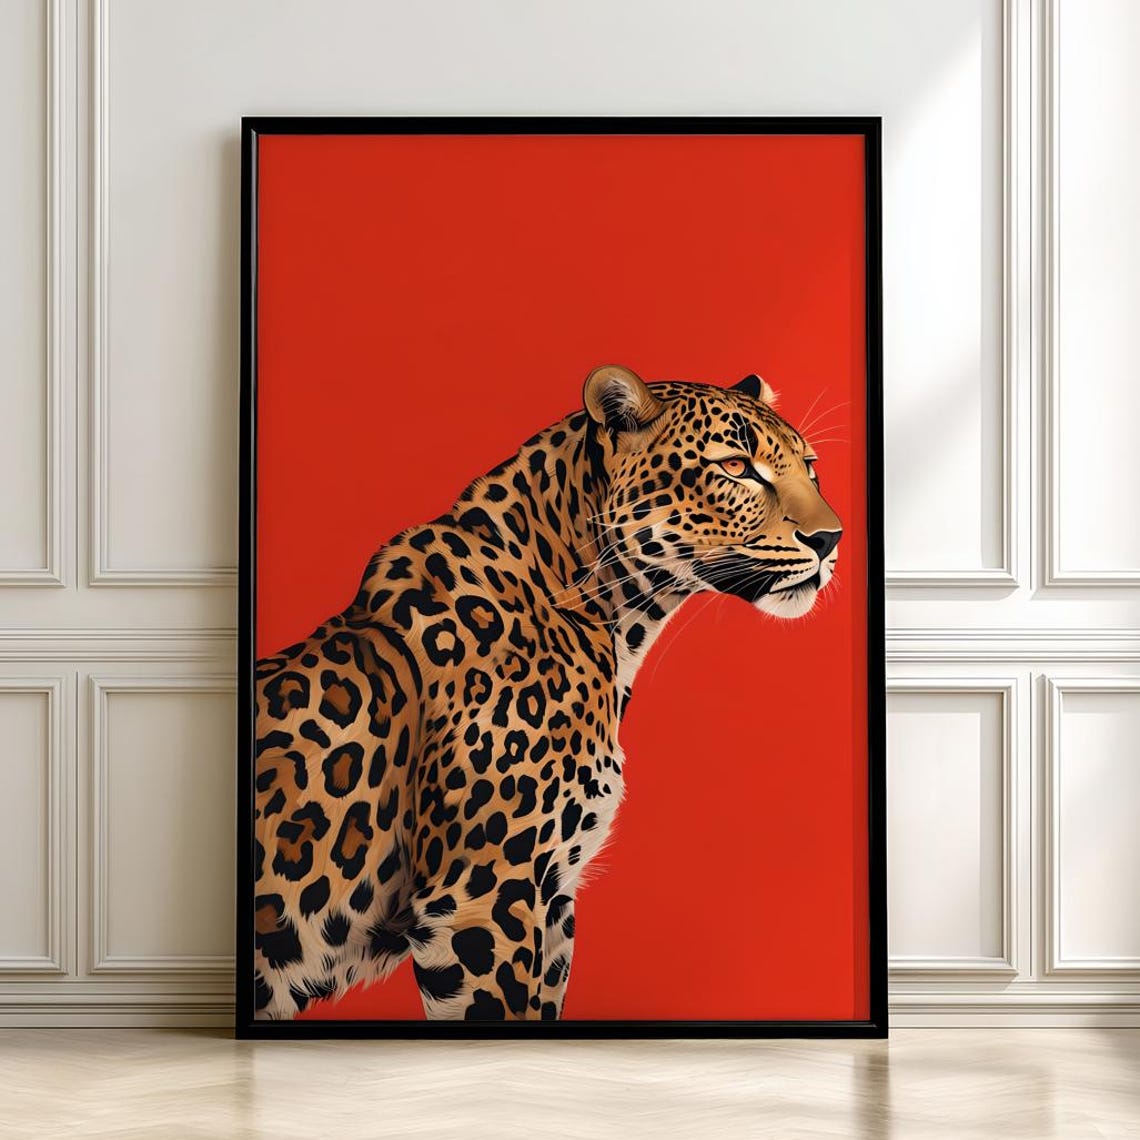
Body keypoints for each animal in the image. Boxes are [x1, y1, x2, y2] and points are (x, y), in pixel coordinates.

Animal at [252, 365, 842, 1021]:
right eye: (736, 467)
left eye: (810, 467)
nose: (831, 539)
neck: (611, 621)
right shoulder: (480, 897)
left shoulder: (553, 897)